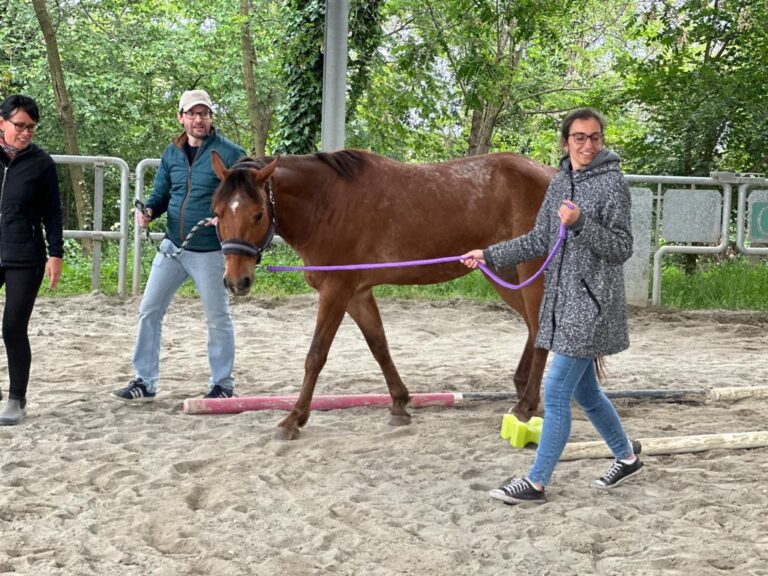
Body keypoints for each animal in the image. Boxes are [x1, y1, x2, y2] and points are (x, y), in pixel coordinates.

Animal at [211, 149, 555, 440]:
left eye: (258, 214)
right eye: (217, 212)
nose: (237, 281)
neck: (327, 203)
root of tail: (551, 174)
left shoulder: (336, 292)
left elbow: (316, 356)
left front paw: (294, 419)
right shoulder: (357, 295)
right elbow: (379, 346)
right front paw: (400, 404)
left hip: (529, 270)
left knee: (539, 329)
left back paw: (526, 404)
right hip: (506, 274)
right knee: (531, 326)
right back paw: (524, 389)